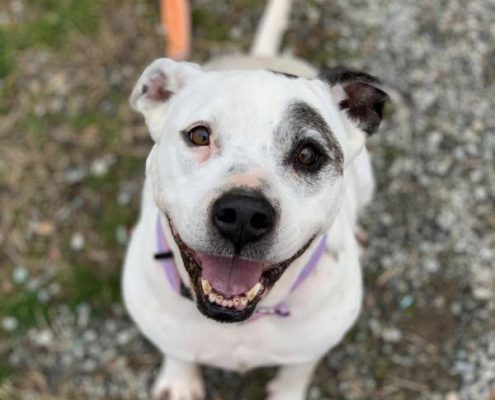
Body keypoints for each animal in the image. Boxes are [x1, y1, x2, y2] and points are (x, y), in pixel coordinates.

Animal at [122, 1, 390, 398]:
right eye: (199, 135)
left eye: (308, 155)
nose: (243, 214)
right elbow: (176, 350)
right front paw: (180, 381)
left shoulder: (310, 348)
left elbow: (297, 373)